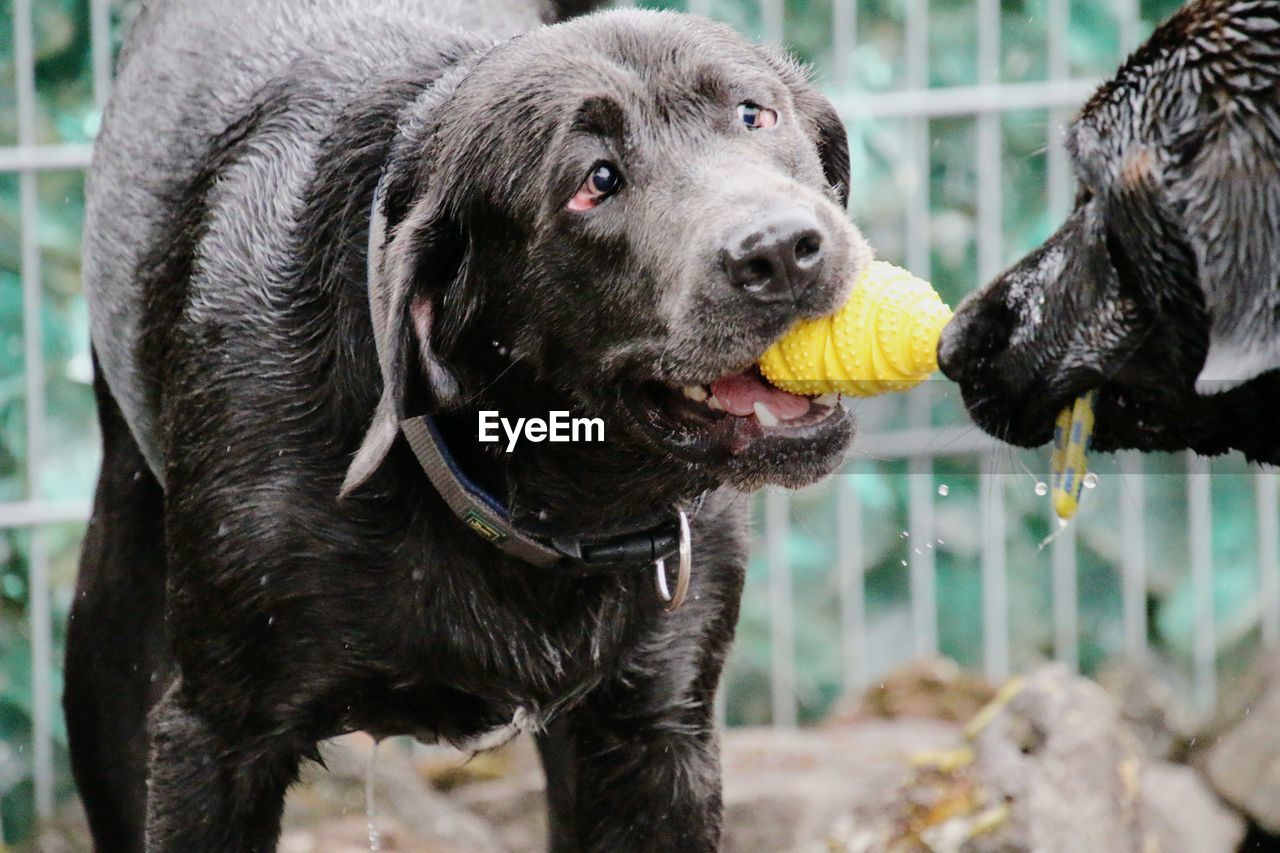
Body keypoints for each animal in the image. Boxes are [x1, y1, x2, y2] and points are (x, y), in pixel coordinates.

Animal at [67, 3, 870, 845]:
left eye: (754, 114)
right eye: (595, 182)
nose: (782, 250)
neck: (540, 504)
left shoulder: (658, 737)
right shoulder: (216, 738)